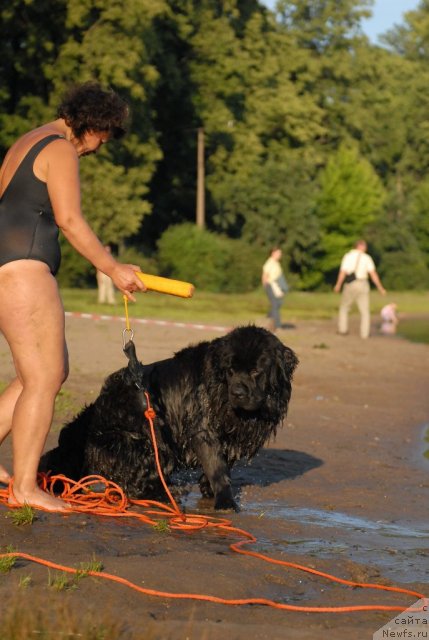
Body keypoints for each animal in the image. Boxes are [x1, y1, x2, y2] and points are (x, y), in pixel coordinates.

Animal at [40, 324, 298, 510]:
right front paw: (225, 501)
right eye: (230, 371)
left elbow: (225, 463)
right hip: (145, 443)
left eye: (256, 371)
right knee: (131, 485)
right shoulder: (202, 429)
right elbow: (217, 467)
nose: (237, 392)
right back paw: (168, 493)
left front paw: (208, 488)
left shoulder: (231, 436)